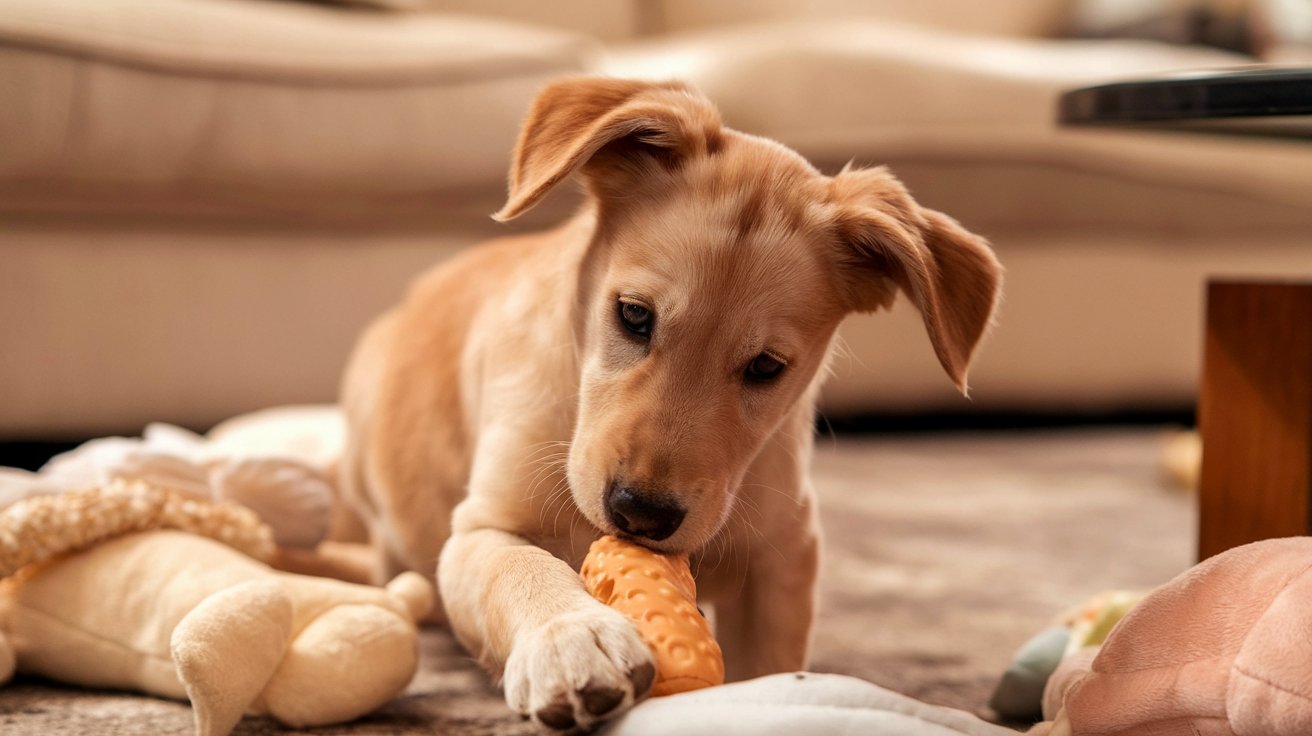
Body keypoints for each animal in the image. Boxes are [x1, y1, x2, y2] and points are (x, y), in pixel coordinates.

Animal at [341, 76, 1002, 729]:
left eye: (766, 367)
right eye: (634, 315)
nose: (640, 515)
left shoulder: (786, 548)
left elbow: (770, 664)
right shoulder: (479, 528)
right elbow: (518, 566)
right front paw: (571, 637)